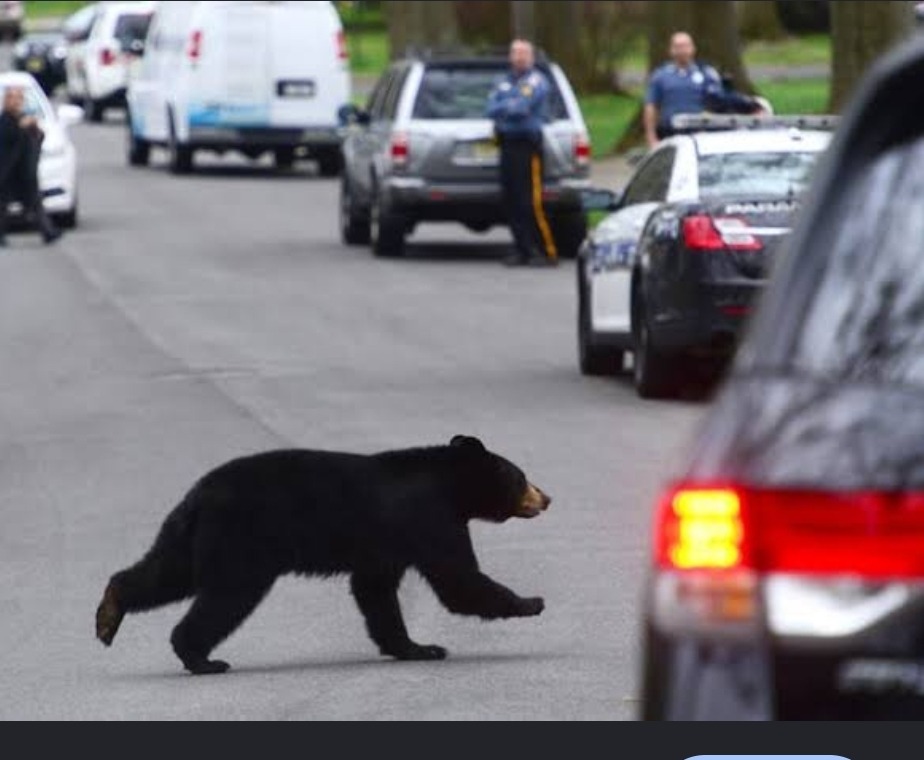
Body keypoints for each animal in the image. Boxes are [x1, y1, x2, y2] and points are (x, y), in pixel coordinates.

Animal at [95, 435, 551, 675]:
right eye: (521, 477)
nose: (546, 498)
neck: (450, 484)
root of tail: (198, 496)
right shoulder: (429, 518)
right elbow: (457, 579)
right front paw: (532, 602)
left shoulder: (385, 547)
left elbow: (375, 591)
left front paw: (414, 646)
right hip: (241, 542)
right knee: (226, 596)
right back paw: (202, 658)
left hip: (189, 538)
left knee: (165, 573)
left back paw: (109, 613)